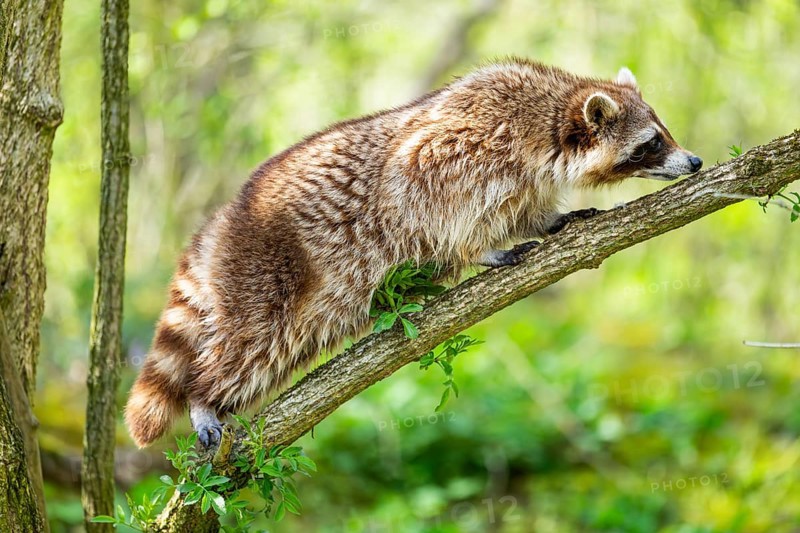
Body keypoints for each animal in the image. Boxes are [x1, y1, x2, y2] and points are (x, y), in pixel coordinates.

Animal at [125, 58, 702, 447]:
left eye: (664, 131)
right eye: (652, 143)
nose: (695, 161)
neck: (548, 120)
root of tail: (222, 221)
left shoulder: (521, 176)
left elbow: (522, 210)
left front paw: (549, 220)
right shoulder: (466, 145)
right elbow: (419, 188)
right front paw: (476, 249)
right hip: (263, 270)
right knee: (250, 344)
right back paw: (205, 397)